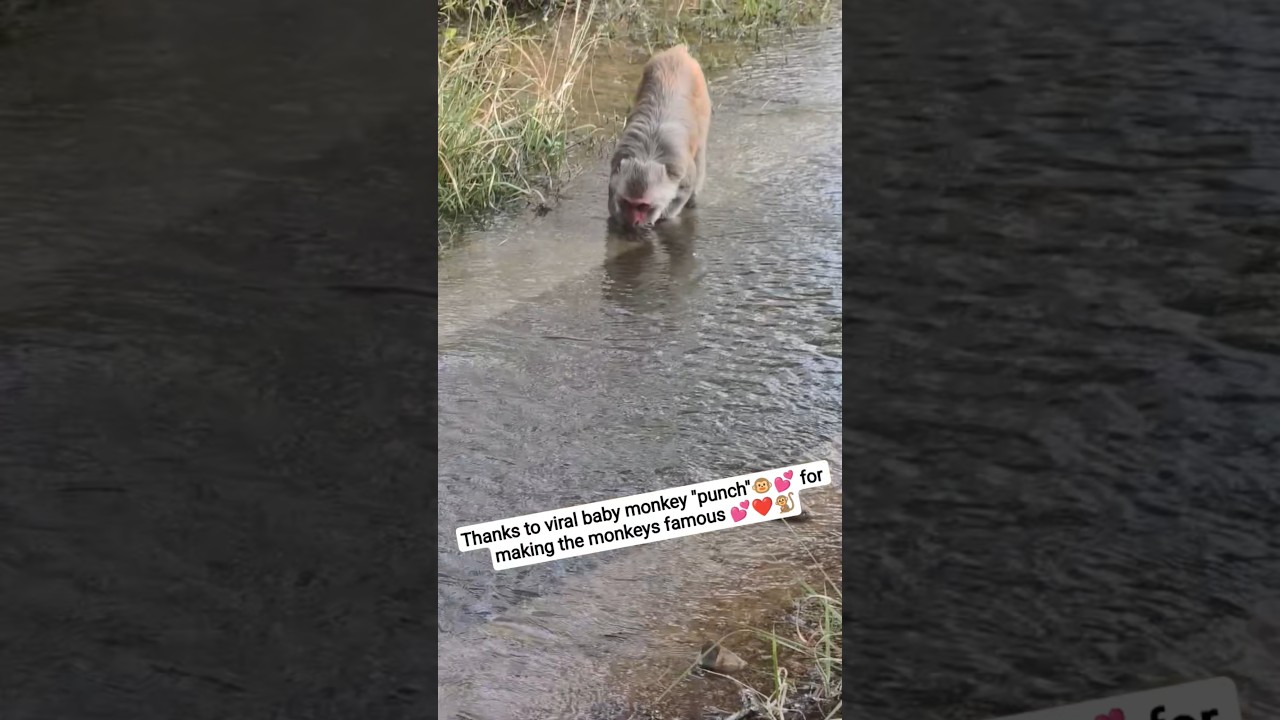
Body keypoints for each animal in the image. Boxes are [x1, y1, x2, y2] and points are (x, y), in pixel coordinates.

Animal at [607, 44, 711, 230]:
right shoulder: (617, 163)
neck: (647, 155)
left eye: (643, 206)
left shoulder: (680, 167)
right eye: (628, 203)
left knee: (700, 153)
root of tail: (678, 52)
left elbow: (685, 189)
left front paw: (658, 217)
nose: (633, 221)